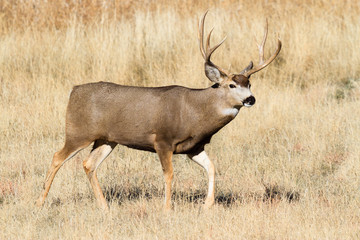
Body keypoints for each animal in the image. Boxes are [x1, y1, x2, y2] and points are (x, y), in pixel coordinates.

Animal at [35, 10, 282, 211]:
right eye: (231, 84)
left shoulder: (195, 147)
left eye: (249, 83)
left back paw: (104, 206)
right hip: (78, 132)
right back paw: (40, 202)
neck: (196, 113)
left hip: (107, 139)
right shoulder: (162, 140)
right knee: (57, 157)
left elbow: (212, 167)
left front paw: (207, 205)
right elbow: (169, 174)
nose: (250, 99)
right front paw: (167, 208)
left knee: (89, 164)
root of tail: (73, 90)